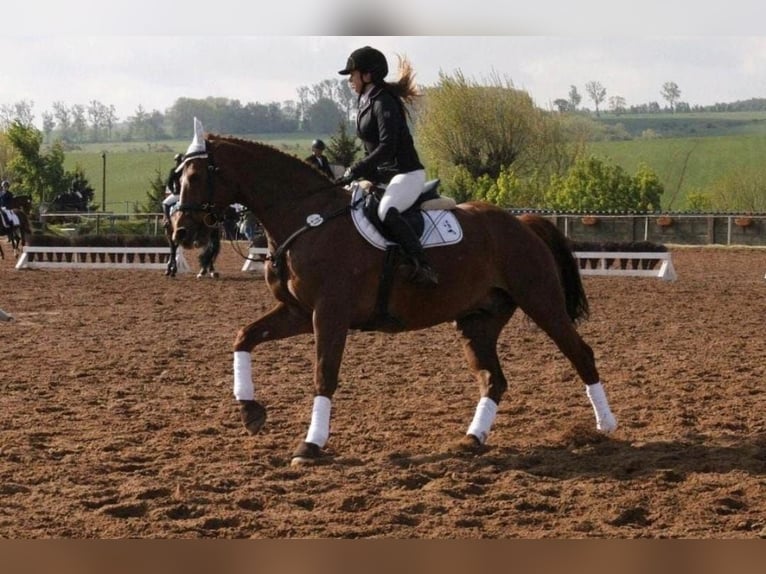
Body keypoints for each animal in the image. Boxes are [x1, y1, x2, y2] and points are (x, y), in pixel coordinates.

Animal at [171, 119, 617, 466]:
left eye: (195, 178)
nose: (182, 234)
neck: (307, 218)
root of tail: (521, 223)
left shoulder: (329, 314)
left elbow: (324, 374)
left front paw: (310, 445)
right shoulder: (298, 312)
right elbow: (243, 338)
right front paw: (250, 412)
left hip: (541, 302)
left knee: (580, 353)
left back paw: (605, 426)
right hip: (478, 320)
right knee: (494, 379)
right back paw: (472, 439)